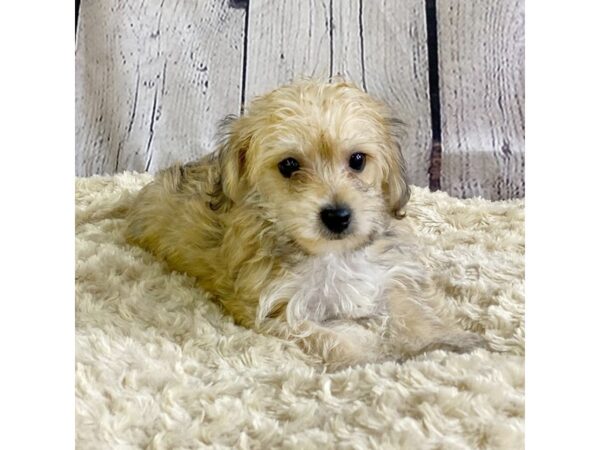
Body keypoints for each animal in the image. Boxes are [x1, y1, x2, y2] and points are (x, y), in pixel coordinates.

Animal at [125, 79, 482, 370]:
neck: (330, 255)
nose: (337, 216)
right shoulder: (275, 307)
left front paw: (443, 340)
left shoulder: (391, 273)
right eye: (289, 165)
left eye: (357, 160)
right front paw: (367, 357)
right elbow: (327, 337)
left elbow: (412, 308)